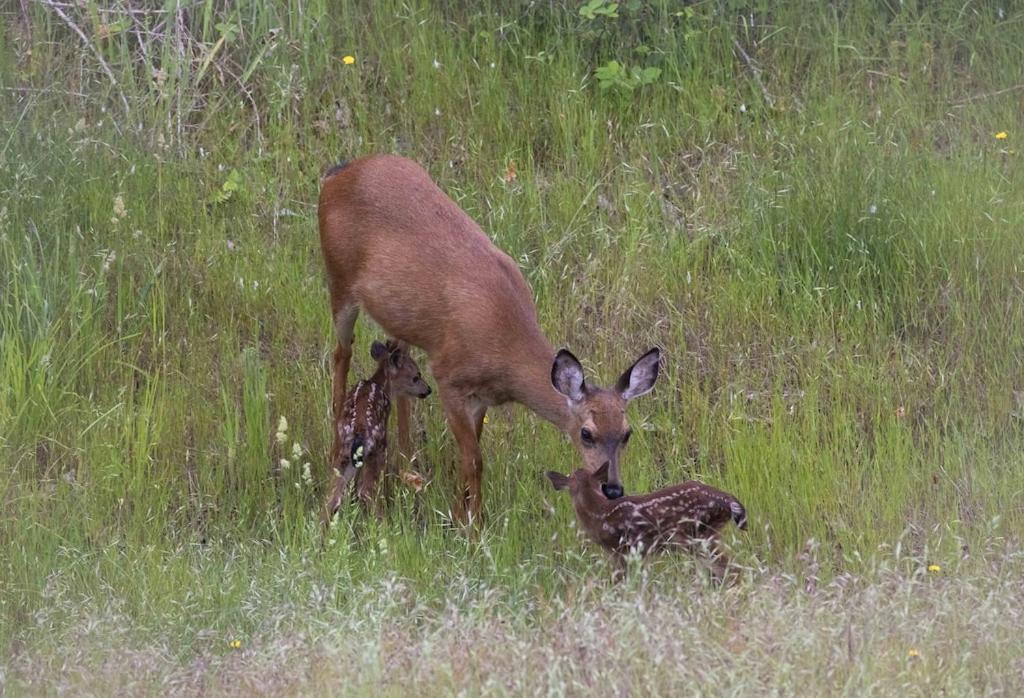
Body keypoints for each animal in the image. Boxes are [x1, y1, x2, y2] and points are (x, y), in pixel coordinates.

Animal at [315, 153, 659, 521]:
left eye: (626, 433)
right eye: (586, 433)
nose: (613, 488)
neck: (505, 346)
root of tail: (339, 173)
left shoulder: (480, 395)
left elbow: (469, 454)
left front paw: (458, 512)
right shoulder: (448, 377)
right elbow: (474, 460)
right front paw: (472, 524)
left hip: (397, 317)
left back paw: (408, 463)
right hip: (339, 282)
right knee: (341, 355)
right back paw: (336, 450)